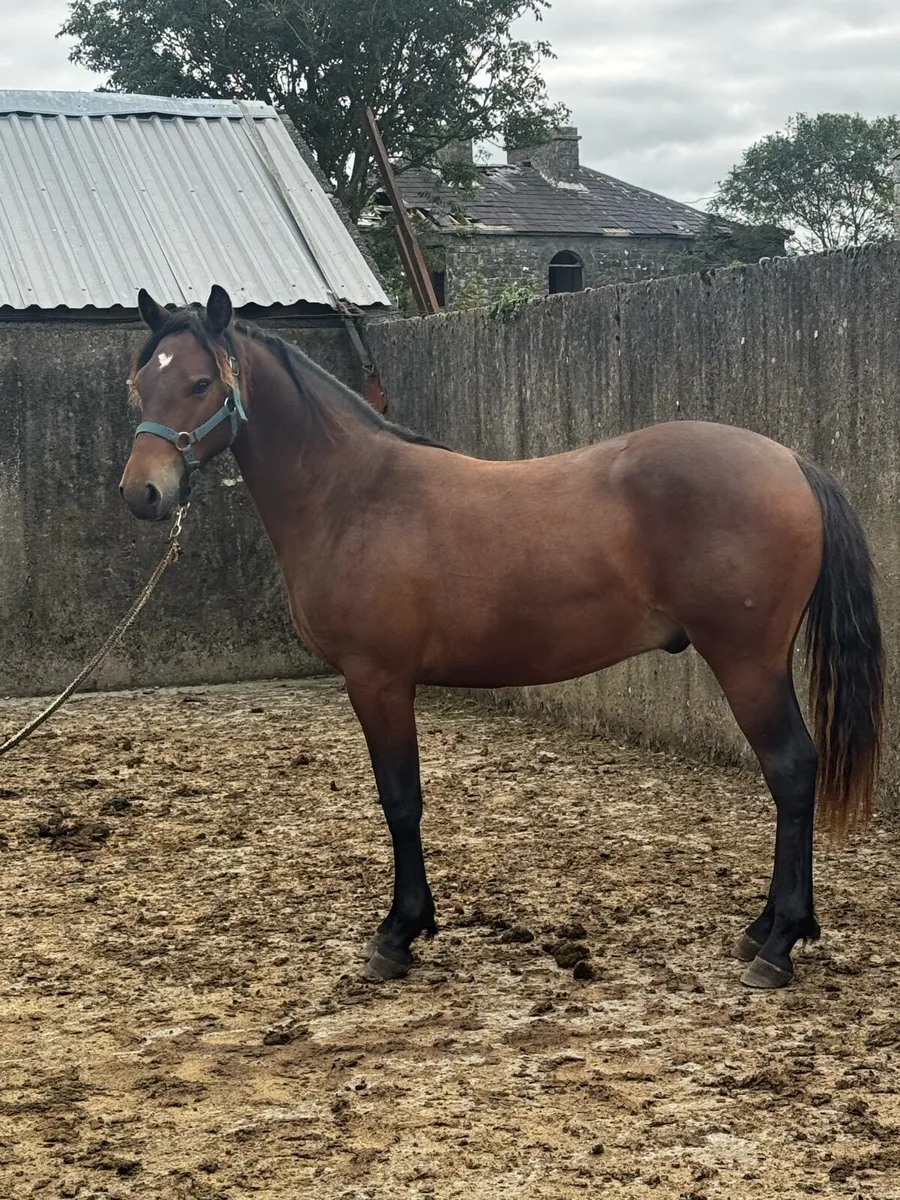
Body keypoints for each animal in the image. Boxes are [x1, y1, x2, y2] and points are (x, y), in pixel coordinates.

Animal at [120, 285, 884, 990]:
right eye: (141, 382)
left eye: (200, 383)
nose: (142, 494)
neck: (352, 495)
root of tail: (790, 461)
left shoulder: (378, 679)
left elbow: (401, 799)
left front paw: (398, 934)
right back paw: (764, 930)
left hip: (747, 662)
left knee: (791, 771)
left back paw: (778, 945)